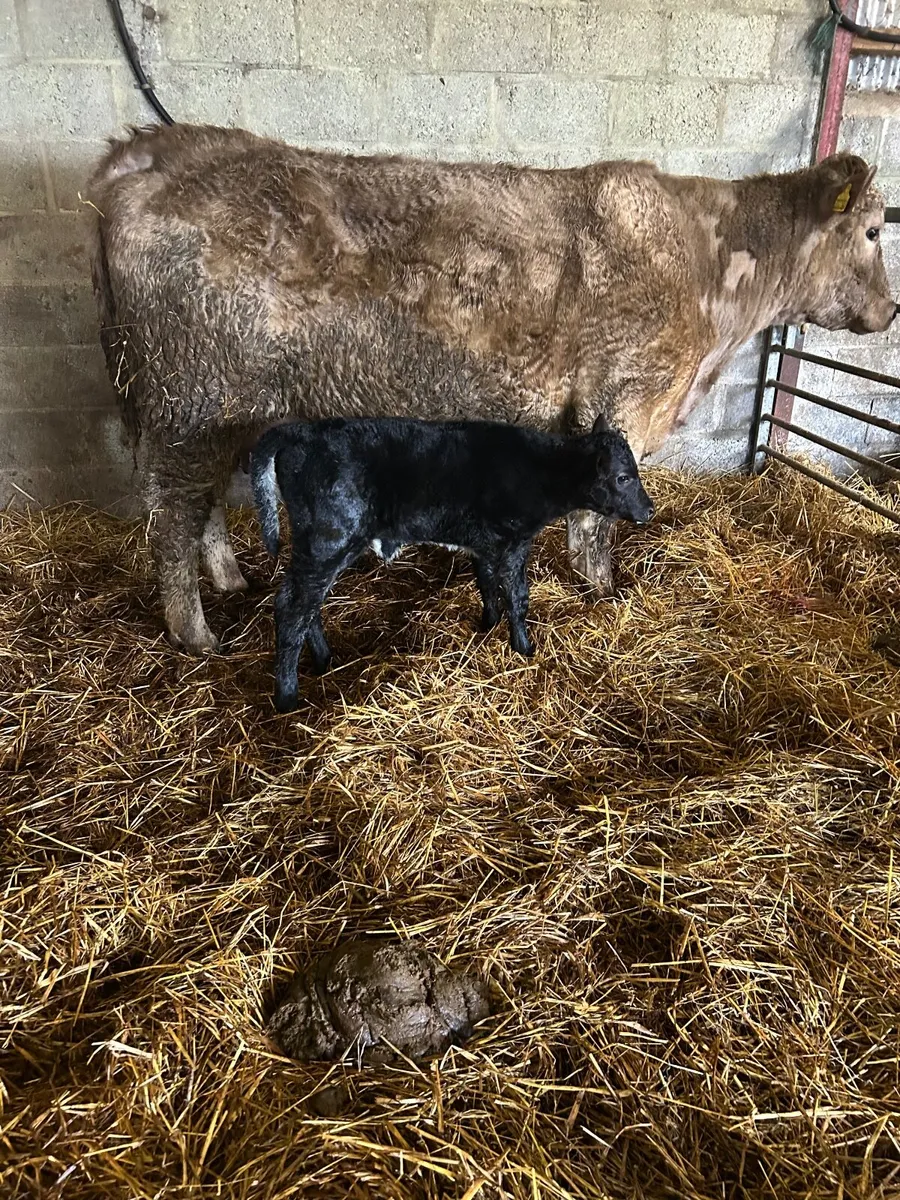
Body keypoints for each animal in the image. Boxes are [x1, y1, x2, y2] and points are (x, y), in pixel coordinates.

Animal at [86, 123, 896, 654]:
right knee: (174, 513)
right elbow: (597, 518)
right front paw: (602, 590)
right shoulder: (628, 399)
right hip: (190, 401)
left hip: (218, 410)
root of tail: (148, 149)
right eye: (874, 232)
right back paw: (196, 634)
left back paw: (227, 582)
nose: (889, 310)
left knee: (203, 505)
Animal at [250, 413, 654, 711]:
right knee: (292, 608)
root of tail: (299, 431)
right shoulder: (513, 542)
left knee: (307, 606)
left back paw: (324, 660)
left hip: (318, 548)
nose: (649, 510)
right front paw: (524, 648)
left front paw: (487, 625)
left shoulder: (485, 544)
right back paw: (287, 698)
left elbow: (486, 584)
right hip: (328, 540)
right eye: (623, 477)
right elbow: (518, 597)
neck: (540, 473)